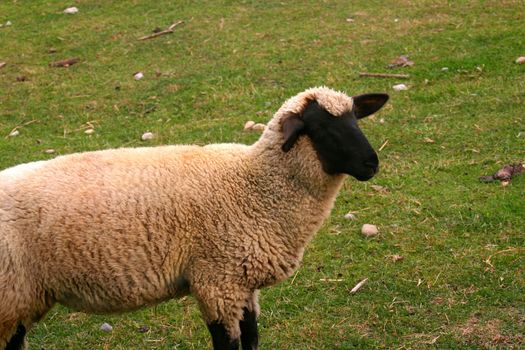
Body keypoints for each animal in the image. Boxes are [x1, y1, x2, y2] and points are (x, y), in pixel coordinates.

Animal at [0, 87, 384, 350]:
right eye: (320, 128)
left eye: (355, 118)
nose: (372, 163)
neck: (253, 185)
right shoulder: (216, 283)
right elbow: (228, 344)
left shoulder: (242, 284)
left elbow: (252, 338)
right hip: (10, 295)